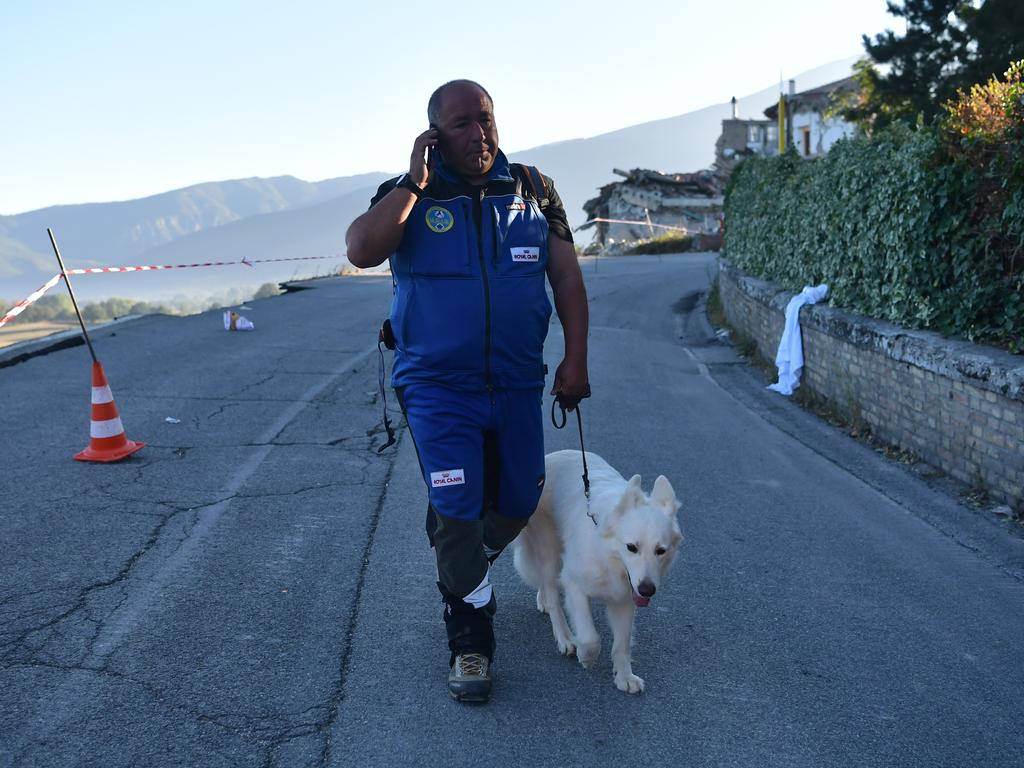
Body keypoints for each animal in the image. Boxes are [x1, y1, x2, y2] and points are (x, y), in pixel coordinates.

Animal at [509, 450, 679, 696]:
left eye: (661, 551)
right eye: (631, 547)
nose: (647, 590)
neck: (608, 556)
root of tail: (550, 457)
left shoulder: (625, 598)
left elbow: (622, 644)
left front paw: (624, 677)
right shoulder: (574, 584)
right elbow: (590, 637)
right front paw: (586, 656)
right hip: (550, 553)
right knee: (553, 596)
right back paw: (565, 637)